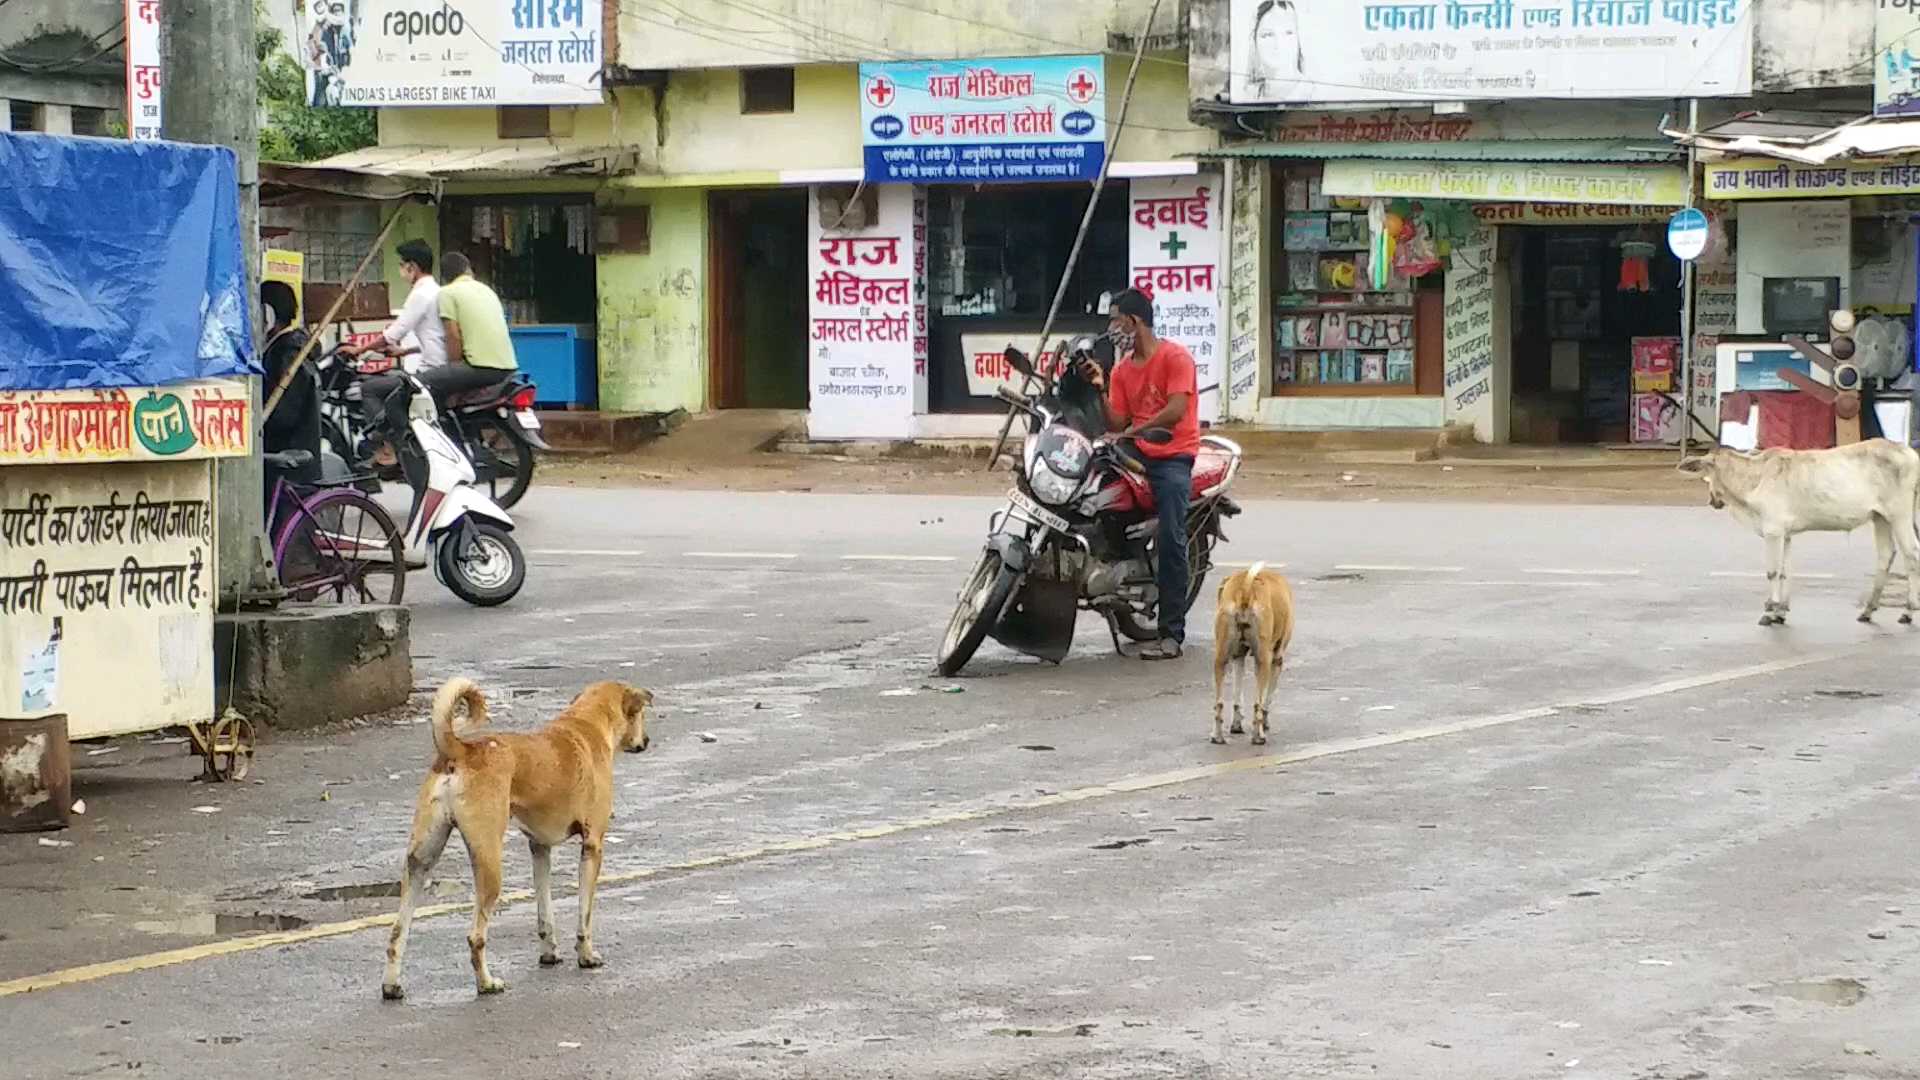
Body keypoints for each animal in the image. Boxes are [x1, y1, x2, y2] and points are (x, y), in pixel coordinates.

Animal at [380, 676, 652, 999]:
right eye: (641, 714)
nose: (647, 741)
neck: (589, 724)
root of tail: (461, 750)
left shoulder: (540, 848)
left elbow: (545, 913)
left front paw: (549, 954)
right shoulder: (592, 846)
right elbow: (584, 916)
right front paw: (586, 956)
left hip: (420, 860)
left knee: (397, 931)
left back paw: (392, 985)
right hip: (489, 864)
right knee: (475, 937)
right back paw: (487, 983)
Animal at [1205, 557, 1297, 745]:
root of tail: (1246, 591)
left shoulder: (1238, 656)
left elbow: (1237, 696)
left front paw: (1236, 724)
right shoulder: (1276, 660)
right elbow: (1267, 699)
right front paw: (1265, 723)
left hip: (1220, 659)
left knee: (1219, 703)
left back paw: (1217, 735)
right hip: (1263, 661)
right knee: (1258, 705)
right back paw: (1259, 735)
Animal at [1681, 434, 1920, 622]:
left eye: (1707, 474)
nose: (1712, 501)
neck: (1755, 479)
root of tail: (1906, 450)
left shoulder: (1773, 531)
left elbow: (1773, 572)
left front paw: (1769, 612)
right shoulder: (1785, 534)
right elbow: (1785, 572)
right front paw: (1780, 611)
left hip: (1900, 514)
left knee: (1912, 554)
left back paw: (1908, 611)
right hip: (1880, 517)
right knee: (1886, 554)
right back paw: (1868, 610)